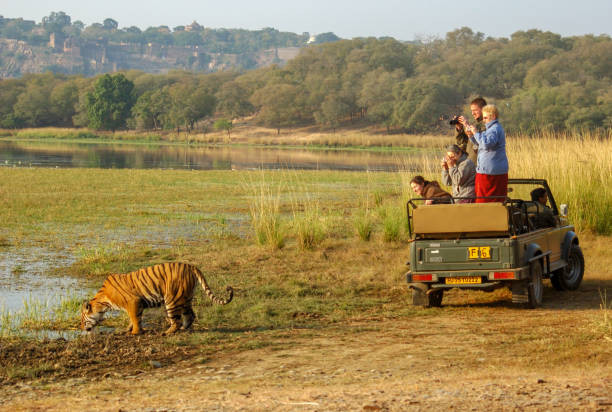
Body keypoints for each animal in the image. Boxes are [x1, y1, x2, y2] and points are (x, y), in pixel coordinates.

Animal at [80, 262, 233, 336]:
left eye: (82, 319)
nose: (81, 328)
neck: (103, 302)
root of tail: (191, 266)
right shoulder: (137, 305)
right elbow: (133, 319)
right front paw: (128, 330)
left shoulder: (133, 302)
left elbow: (135, 319)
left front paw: (135, 333)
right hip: (185, 298)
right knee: (190, 315)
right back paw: (184, 328)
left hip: (172, 299)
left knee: (176, 321)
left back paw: (166, 332)